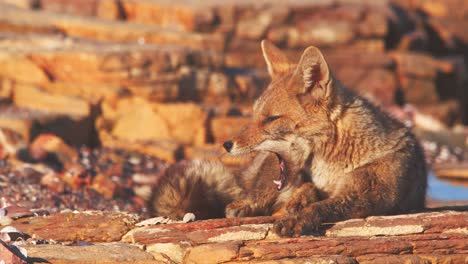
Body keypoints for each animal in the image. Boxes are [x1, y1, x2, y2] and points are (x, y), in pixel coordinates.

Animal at [148, 39, 426, 237]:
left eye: (271, 119)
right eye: (254, 115)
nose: (227, 145)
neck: (336, 161)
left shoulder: (364, 196)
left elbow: (322, 206)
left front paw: (297, 219)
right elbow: (308, 192)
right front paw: (298, 203)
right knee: (253, 197)